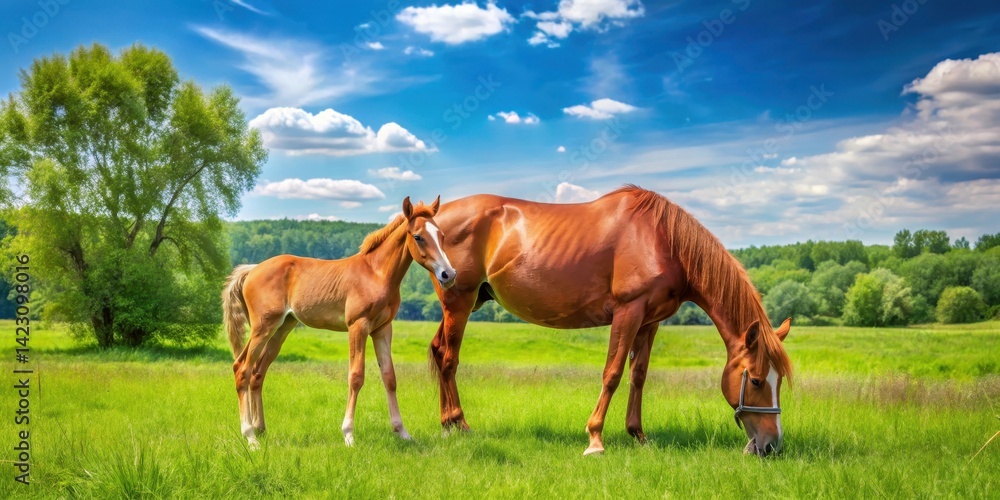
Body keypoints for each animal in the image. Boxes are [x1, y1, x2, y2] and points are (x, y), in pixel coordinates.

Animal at [222, 196, 457, 448]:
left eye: (441, 235)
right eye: (418, 236)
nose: (448, 274)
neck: (376, 274)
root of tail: (252, 269)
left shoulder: (382, 329)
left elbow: (390, 377)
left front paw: (402, 432)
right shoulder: (357, 326)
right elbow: (356, 376)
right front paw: (349, 434)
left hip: (281, 328)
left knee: (257, 372)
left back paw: (260, 428)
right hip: (263, 327)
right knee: (242, 368)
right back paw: (250, 437)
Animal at [423, 185, 792, 456]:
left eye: (778, 383)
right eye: (756, 380)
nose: (771, 446)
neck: (661, 239)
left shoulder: (649, 321)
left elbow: (638, 375)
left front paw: (638, 435)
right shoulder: (629, 311)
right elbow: (612, 373)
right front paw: (595, 439)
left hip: (465, 303)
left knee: (439, 351)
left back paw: (446, 425)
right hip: (459, 302)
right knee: (449, 358)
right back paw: (458, 423)